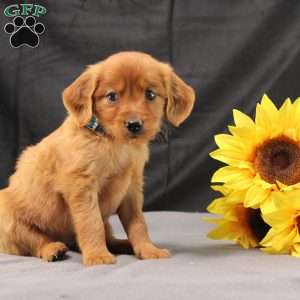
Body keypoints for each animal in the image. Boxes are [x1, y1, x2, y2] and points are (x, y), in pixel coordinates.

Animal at [0, 51, 195, 264]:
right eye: (112, 96)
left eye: (150, 94)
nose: (134, 124)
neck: (113, 142)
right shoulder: (81, 186)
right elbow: (91, 223)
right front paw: (97, 255)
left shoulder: (132, 189)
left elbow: (138, 223)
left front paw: (147, 248)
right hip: (9, 219)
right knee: (34, 239)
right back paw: (53, 249)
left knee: (106, 236)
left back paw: (124, 244)